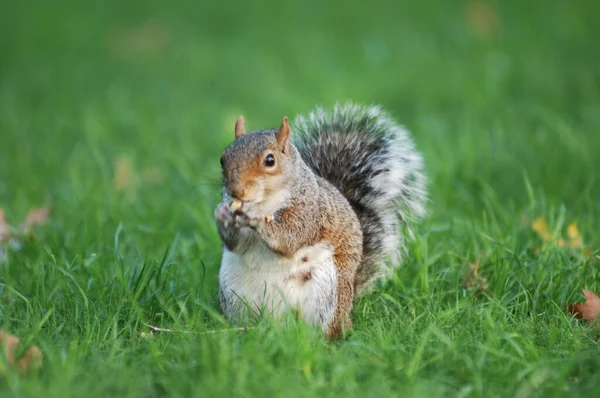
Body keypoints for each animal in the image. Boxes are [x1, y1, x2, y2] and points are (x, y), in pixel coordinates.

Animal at [214, 101, 426, 338]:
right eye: (223, 159)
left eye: (270, 160)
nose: (235, 191)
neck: (265, 202)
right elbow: (236, 244)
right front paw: (222, 214)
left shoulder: (310, 212)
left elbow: (290, 238)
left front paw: (257, 219)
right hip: (233, 292)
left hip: (325, 292)